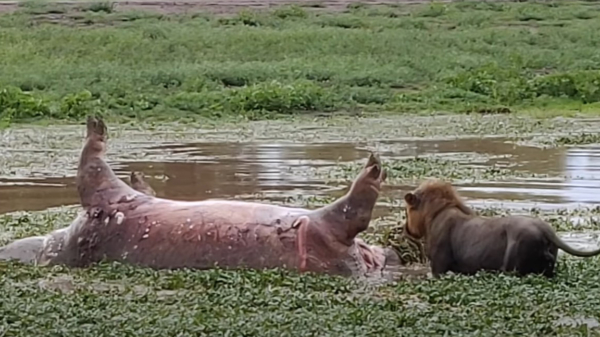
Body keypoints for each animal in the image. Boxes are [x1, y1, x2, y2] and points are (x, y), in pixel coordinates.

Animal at [2, 115, 404, 278]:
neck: (53, 248)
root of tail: (365, 263)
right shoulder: (103, 204)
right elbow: (91, 166)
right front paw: (96, 129)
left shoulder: (107, 206)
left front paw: (139, 175)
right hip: (325, 238)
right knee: (349, 215)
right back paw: (372, 170)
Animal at [400, 177, 600, 276]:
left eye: (407, 209)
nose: (406, 228)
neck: (434, 214)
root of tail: (548, 231)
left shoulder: (438, 265)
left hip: (513, 264)